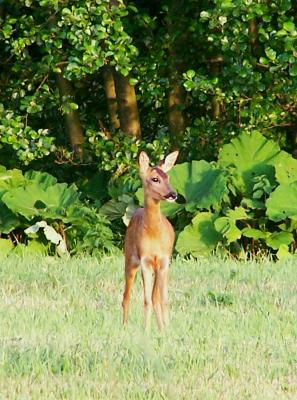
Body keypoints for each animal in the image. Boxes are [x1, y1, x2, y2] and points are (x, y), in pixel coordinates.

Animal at [121, 150, 177, 332]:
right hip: (130, 258)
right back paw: (124, 326)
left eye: (168, 177)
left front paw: (167, 329)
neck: (154, 234)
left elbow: (162, 299)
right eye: (154, 179)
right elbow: (146, 300)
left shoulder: (165, 260)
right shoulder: (145, 260)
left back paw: (161, 327)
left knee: (155, 297)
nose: (173, 194)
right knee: (126, 295)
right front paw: (146, 330)